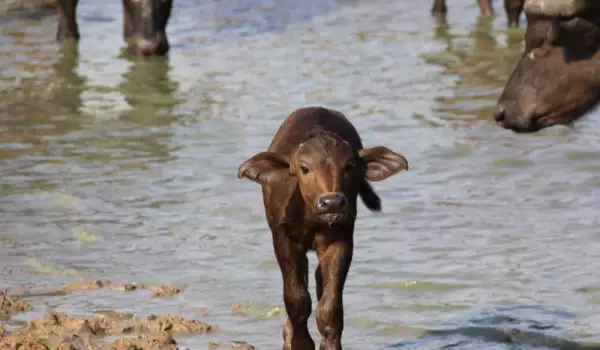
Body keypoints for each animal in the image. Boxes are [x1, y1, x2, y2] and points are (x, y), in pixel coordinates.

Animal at [237, 107, 410, 350]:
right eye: (304, 168)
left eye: (349, 167)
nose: (332, 202)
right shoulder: (283, 240)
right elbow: (296, 299)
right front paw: (298, 342)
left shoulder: (340, 240)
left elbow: (330, 308)